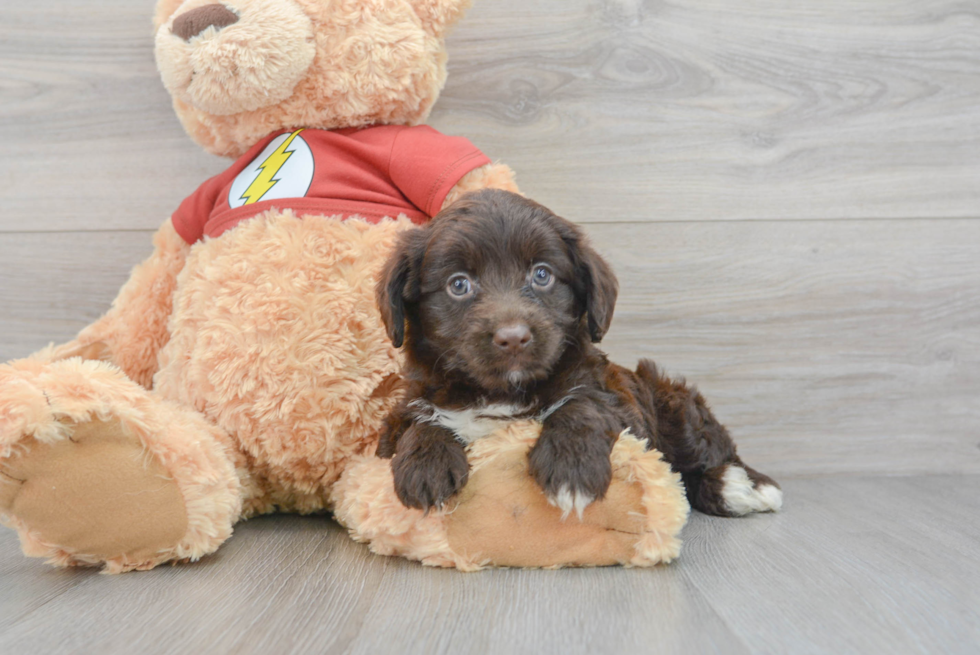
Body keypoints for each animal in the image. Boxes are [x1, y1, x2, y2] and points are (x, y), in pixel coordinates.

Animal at [376, 188, 780, 516]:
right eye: (458, 285)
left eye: (542, 275)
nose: (513, 338)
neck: (501, 392)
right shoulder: (405, 408)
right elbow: (417, 420)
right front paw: (426, 463)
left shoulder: (616, 402)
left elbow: (583, 404)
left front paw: (572, 468)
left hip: (674, 406)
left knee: (704, 452)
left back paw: (743, 485)